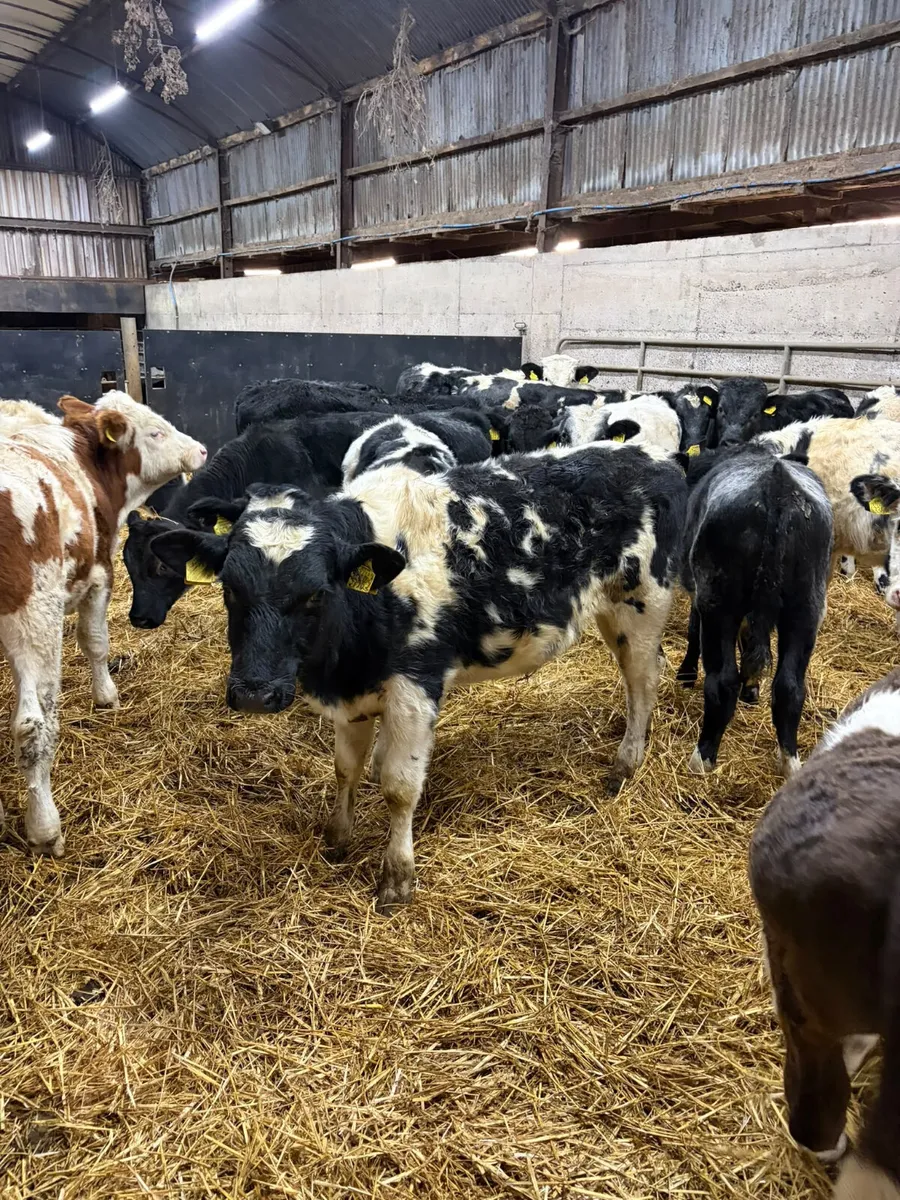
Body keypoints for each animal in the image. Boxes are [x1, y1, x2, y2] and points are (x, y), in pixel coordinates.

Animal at [0, 393, 206, 856]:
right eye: (155, 431)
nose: (201, 450)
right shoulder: (99, 575)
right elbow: (95, 642)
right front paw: (107, 696)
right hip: (35, 616)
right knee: (33, 727)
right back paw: (45, 828)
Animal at [151, 441, 688, 914]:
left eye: (316, 593)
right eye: (229, 587)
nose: (255, 693)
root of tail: (653, 456)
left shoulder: (416, 684)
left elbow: (400, 786)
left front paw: (397, 878)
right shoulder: (352, 691)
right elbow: (345, 767)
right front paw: (338, 838)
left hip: (643, 603)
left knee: (644, 682)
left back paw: (625, 765)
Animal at [676, 443, 833, 777]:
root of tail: (777, 485)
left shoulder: (698, 590)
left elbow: (694, 630)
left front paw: (686, 674)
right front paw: (752, 689)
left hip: (718, 600)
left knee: (722, 681)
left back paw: (702, 759)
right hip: (806, 606)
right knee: (789, 687)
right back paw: (790, 762)